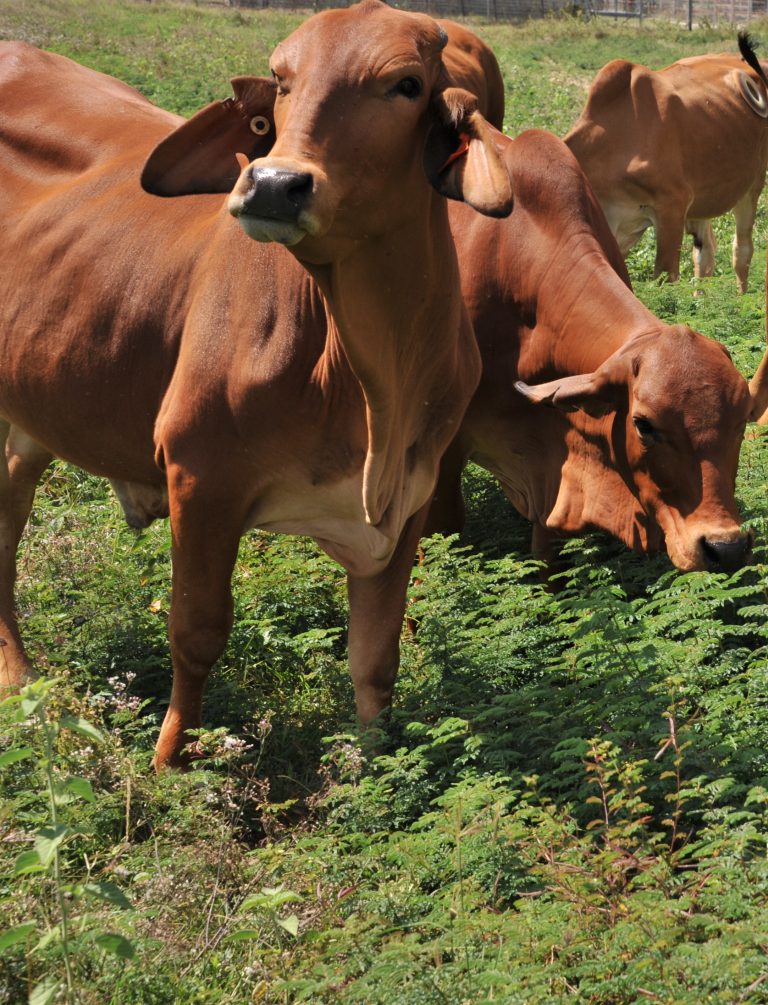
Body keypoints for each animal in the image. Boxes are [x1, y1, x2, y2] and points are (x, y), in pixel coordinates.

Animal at [1, 1, 514, 767]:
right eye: (282, 79)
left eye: (407, 84)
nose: (273, 184)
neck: (373, 380)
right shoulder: (200, 479)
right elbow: (197, 633)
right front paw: (168, 765)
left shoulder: (409, 500)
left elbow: (375, 657)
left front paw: (377, 767)